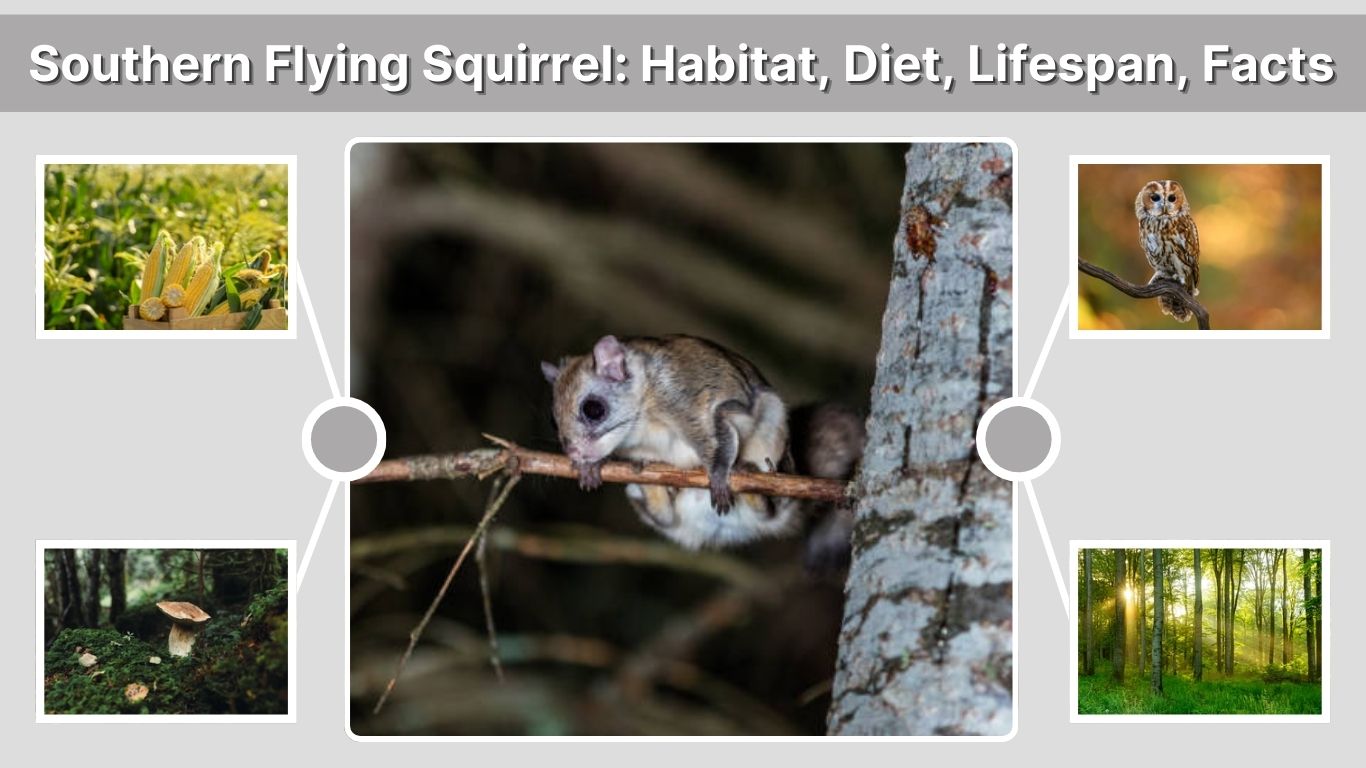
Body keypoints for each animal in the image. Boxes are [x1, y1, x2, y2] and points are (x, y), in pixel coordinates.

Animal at [541, 334, 863, 552]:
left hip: (774, 433)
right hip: (668, 518)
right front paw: (590, 468)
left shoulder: (687, 403)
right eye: (553, 421)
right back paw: (650, 487)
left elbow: (718, 432)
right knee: (664, 517)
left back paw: (753, 483)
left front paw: (719, 475)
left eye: (593, 409)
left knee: (773, 509)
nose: (573, 453)